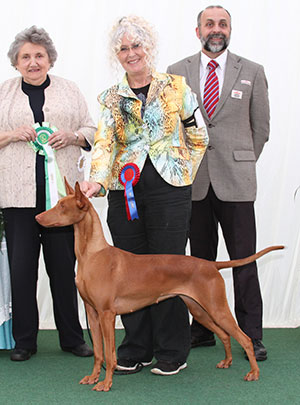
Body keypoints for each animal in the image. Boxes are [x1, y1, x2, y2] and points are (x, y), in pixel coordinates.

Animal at [35, 181, 284, 392]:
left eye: (62, 206)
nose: (37, 216)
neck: (92, 255)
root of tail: (211, 264)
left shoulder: (107, 314)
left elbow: (109, 354)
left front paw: (106, 383)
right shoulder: (92, 313)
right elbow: (98, 352)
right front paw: (93, 377)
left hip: (217, 308)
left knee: (245, 338)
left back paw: (254, 372)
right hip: (200, 310)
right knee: (224, 334)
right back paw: (227, 361)